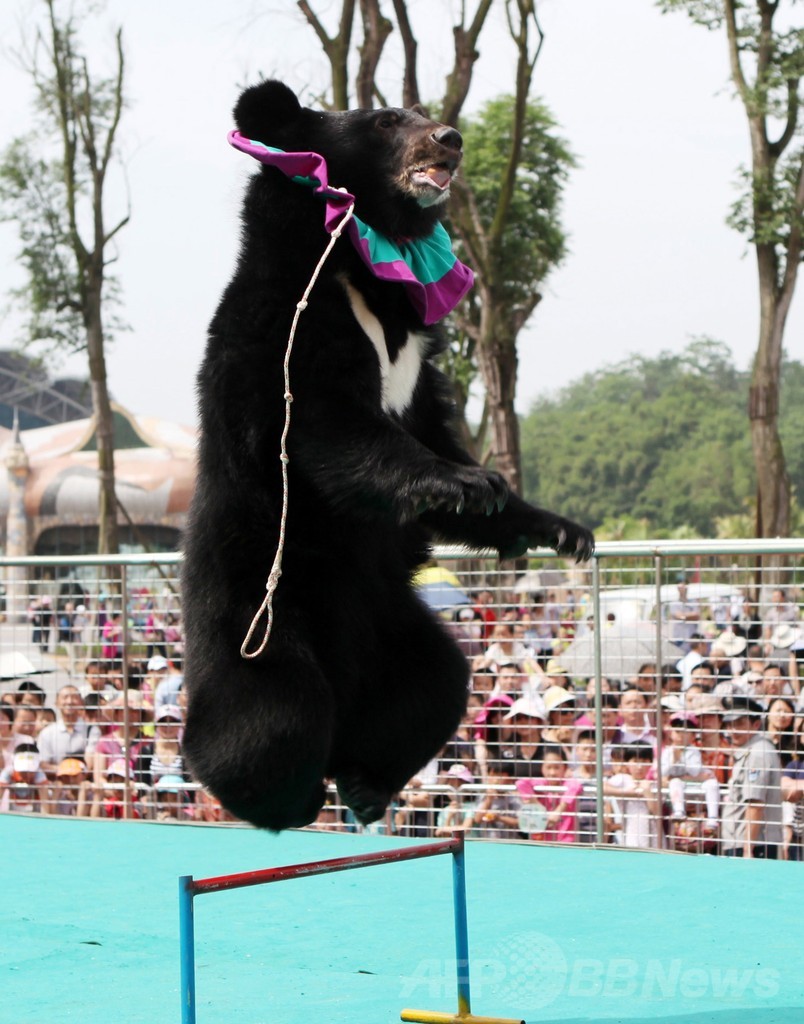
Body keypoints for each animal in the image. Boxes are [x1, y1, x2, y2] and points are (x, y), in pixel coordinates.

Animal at [183, 79, 594, 831]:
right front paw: (468, 480)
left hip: (396, 629)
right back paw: (282, 798)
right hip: (257, 611)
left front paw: (560, 528)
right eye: (384, 123)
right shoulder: (288, 325)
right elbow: (329, 426)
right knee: (270, 717)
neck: (367, 268)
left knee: (437, 683)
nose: (451, 139)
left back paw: (364, 782)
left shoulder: (422, 367)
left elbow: (430, 433)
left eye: (425, 114)